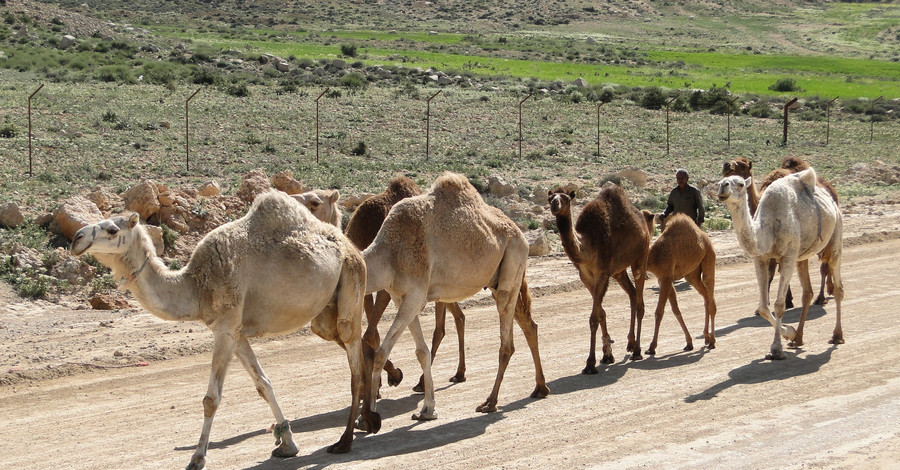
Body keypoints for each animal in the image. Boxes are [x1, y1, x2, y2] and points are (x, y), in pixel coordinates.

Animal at [70, 191, 378, 470]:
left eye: (112, 229)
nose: (76, 239)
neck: (196, 286)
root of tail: (349, 245)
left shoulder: (225, 329)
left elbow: (211, 399)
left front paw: (197, 458)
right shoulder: (237, 334)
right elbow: (263, 384)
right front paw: (288, 444)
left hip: (351, 282)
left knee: (354, 364)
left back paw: (345, 440)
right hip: (325, 313)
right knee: (362, 349)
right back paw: (369, 419)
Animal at [360, 172, 544, 418]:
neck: (388, 254)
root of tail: (521, 234)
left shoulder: (415, 294)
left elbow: (382, 351)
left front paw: (369, 416)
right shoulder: (403, 297)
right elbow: (421, 351)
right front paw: (427, 409)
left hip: (512, 266)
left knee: (507, 343)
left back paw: (490, 402)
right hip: (499, 280)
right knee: (528, 324)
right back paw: (540, 388)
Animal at [544, 183, 652, 370]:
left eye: (566, 198)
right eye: (550, 198)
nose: (555, 205)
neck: (587, 247)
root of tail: (643, 221)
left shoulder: (602, 274)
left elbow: (594, 318)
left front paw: (590, 363)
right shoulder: (587, 277)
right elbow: (601, 313)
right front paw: (607, 355)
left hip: (640, 258)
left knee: (640, 302)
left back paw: (637, 350)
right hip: (618, 271)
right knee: (632, 294)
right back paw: (630, 344)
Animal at [644, 212, 720, 352]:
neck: (654, 256)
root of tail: (704, 237)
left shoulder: (666, 278)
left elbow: (659, 311)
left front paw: (652, 347)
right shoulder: (663, 279)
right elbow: (675, 310)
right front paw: (689, 343)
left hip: (709, 258)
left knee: (711, 300)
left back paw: (712, 341)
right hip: (692, 274)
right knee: (706, 298)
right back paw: (706, 337)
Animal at [716, 169, 844, 360]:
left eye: (740, 183)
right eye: (720, 181)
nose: (723, 187)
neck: (768, 227)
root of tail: (832, 200)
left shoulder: (788, 257)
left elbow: (779, 304)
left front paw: (776, 349)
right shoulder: (760, 259)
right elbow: (763, 307)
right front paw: (789, 332)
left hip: (836, 235)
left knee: (838, 287)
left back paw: (837, 336)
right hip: (801, 256)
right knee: (807, 292)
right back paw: (798, 339)